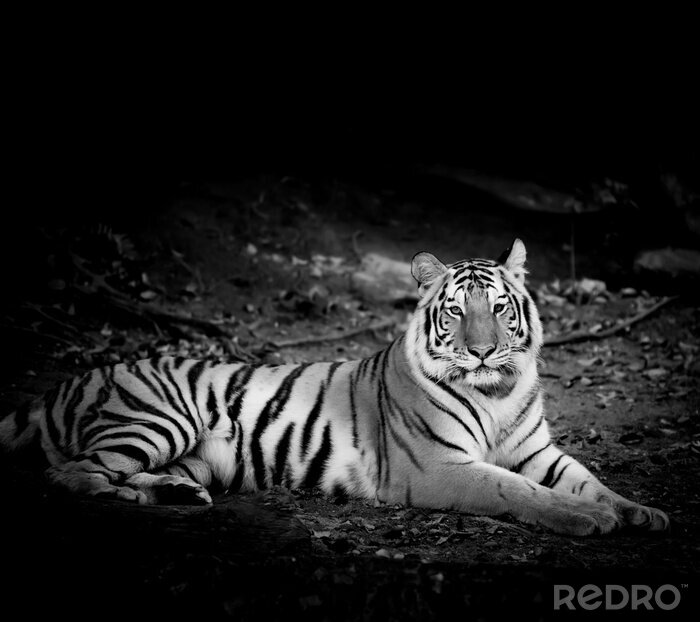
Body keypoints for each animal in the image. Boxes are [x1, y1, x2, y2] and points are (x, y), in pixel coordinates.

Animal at [0, 239, 669, 536]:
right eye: (456, 311)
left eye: (500, 308)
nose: (481, 350)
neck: (498, 392)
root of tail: (71, 380)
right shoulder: (439, 467)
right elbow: (517, 491)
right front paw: (587, 519)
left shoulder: (538, 451)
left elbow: (591, 480)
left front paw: (641, 511)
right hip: (159, 419)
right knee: (70, 474)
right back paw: (142, 497)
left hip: (189, 450)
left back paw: (178, 493)